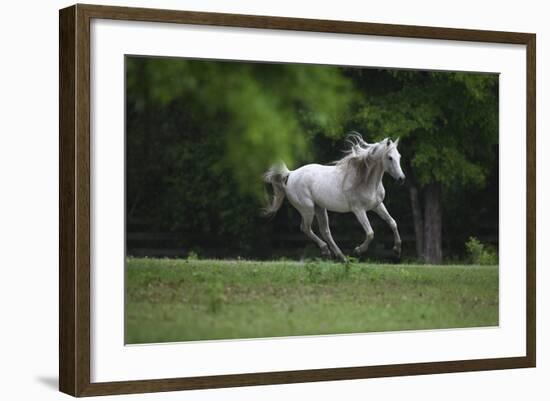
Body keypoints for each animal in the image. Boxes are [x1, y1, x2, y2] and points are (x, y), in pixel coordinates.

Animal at [266, 133, 408, 260]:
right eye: (390, 157)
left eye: (399, 156)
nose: (401, 179)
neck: (365, 180)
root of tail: (291, 174)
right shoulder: (358, 210)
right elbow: (370, 233)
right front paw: (358, 250)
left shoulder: (377, 206)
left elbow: (393, 223)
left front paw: (397, 250)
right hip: (307, 209)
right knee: (306, 228)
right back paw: (327, 251)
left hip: (320, 208)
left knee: (325, 231)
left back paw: (340, 256)